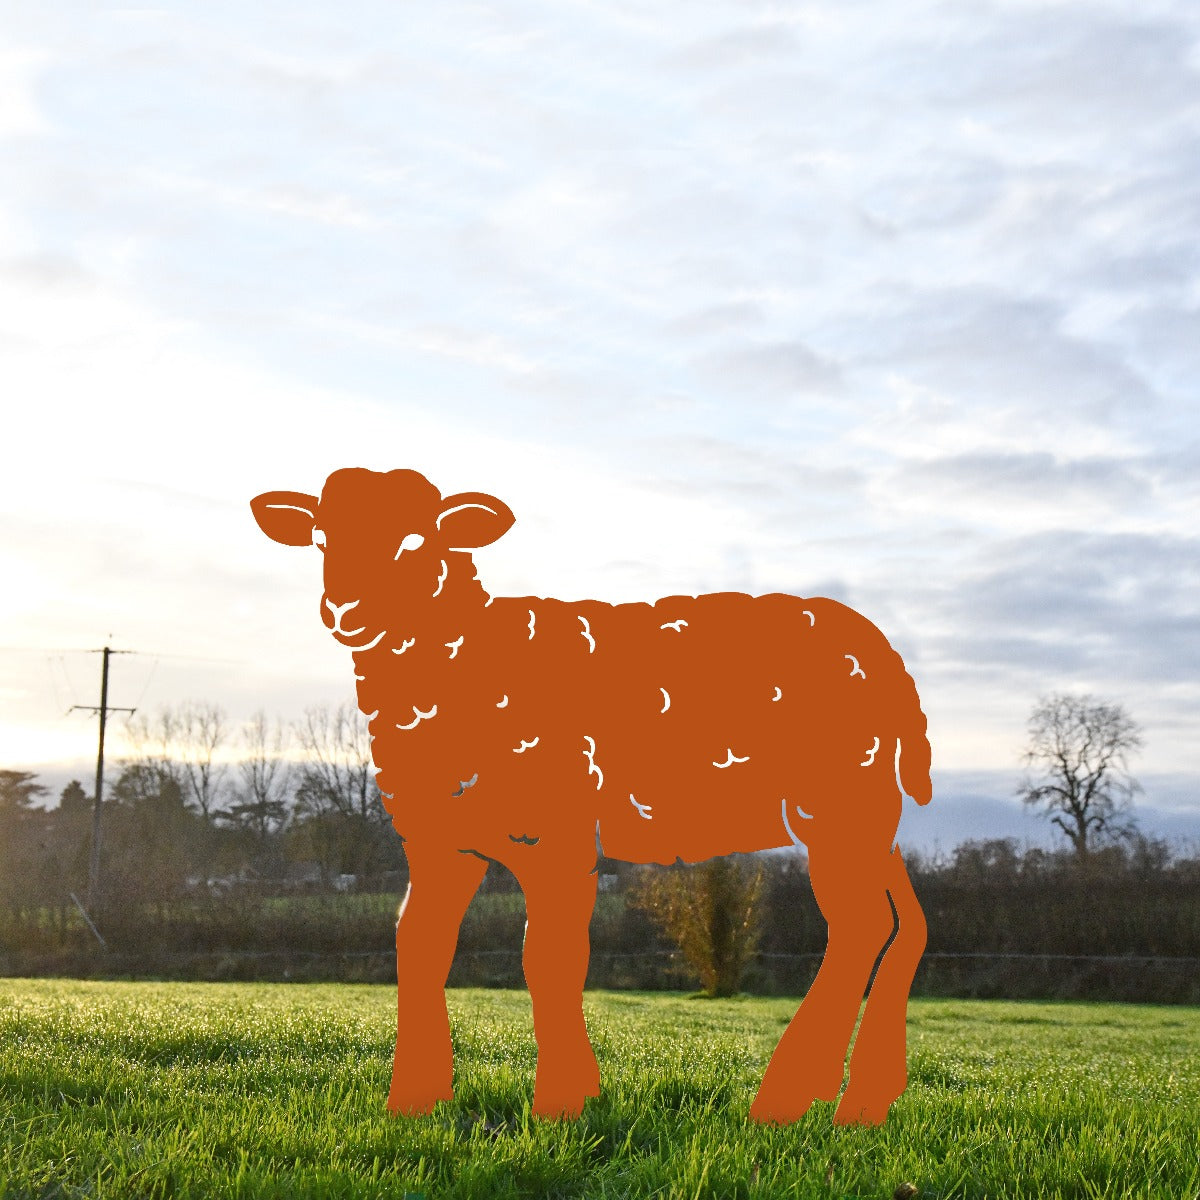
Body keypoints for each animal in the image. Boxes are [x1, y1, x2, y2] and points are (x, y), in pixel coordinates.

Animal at [251, 466, 932, 1126]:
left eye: (418, 540)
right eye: (320, 539)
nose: (346, 609)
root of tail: (884, 652)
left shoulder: (555, 829)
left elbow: (548, 958)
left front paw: (561, 1103)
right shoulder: (438, 841)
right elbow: (417, 948)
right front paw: (414, 1102)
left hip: (841, 800)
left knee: (862, 927)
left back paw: (789, 1101)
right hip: (870, 813)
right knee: (902, 922)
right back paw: (856, 1096)